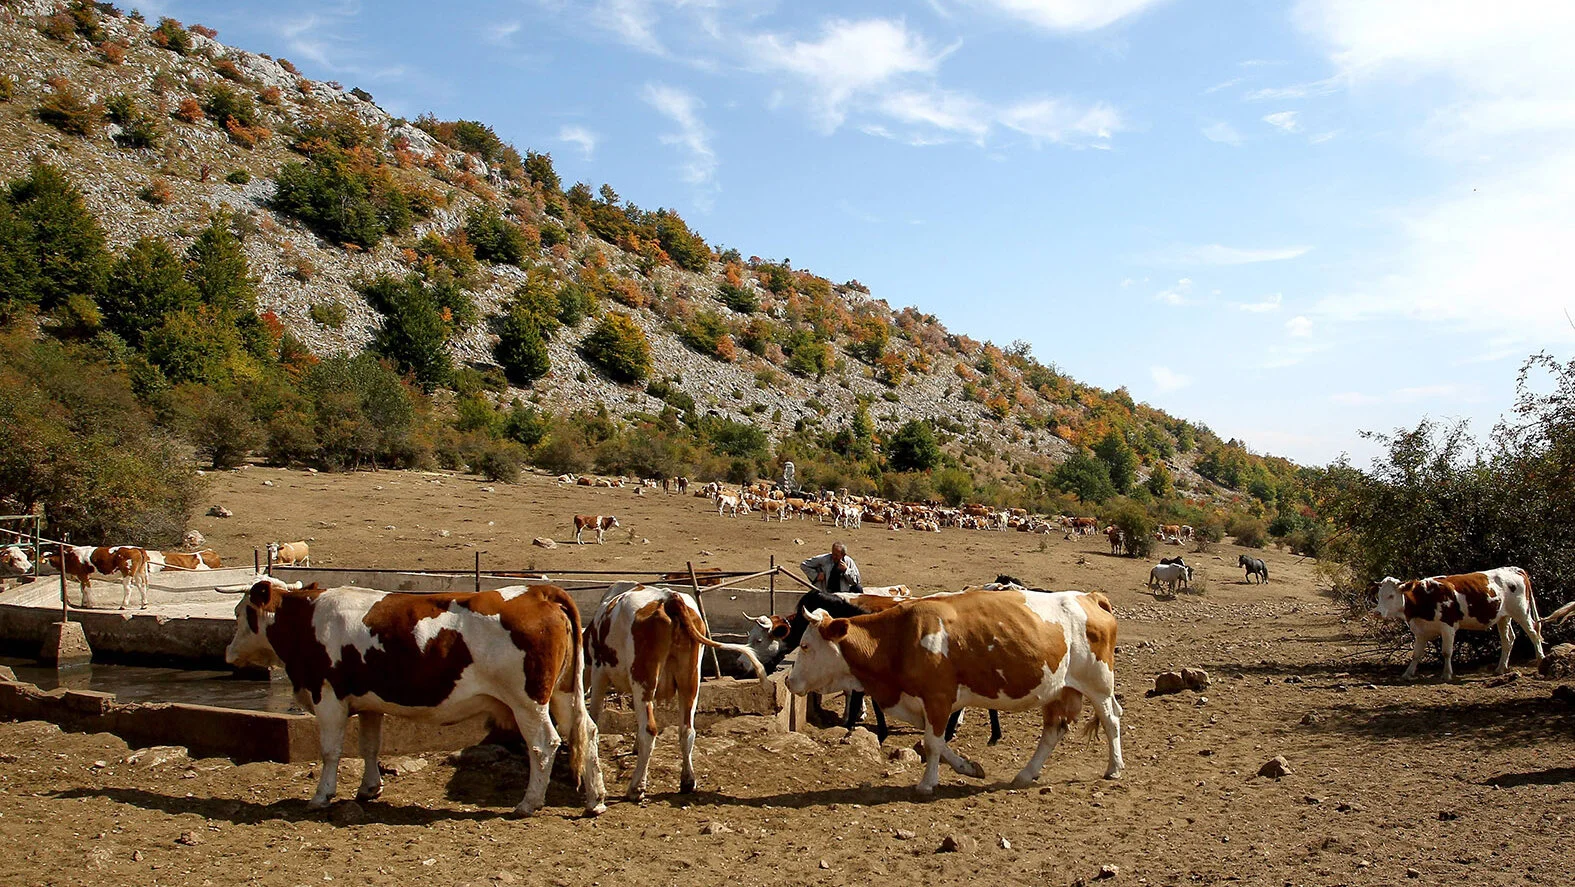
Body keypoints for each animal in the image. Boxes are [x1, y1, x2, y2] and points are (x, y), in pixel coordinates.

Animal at [225, 579, 604, 812]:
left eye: (240, 612)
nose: (229, 653)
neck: (308, 621)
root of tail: (538, 592)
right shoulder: (369, 703)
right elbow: (369, 746)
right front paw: (369, 789)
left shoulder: (329, 697)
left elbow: (331, 751)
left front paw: (321, 796)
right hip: (563, 693)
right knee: (586, 731)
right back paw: (595, 800)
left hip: (528, 702)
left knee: (544, 743)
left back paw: (529, 803)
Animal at [585, 586, 768, 800]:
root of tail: (669, 598)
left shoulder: (599, 672)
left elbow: (595, 714)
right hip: (690, 679)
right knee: (687, 730)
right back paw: (688, 781)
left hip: (643, 678)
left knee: (650, 730)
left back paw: (636, 787)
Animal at [787, 586, 1121, 794]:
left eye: (805, 646)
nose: (789, 681)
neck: (898, 639)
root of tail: (1090, 598)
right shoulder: (927, 704)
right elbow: (936, 744)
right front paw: (969, 767)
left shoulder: (938, 697)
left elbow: (933, 744)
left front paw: (927, 783)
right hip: (1058, 689)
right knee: (1053, 731)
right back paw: (1026, 774)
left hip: (1098, 684)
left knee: (1111, 720)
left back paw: (1114, 768)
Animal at [1379, 567, 1549, 683]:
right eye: (1379, 595)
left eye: (1391, 595)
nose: (1377, 612)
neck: (1425, 597)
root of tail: (1515, 569)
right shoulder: (1421, 631)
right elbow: (1416, 655)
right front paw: (1408, 673)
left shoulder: (1448, 627)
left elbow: (1446, 652)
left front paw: (1447, 674)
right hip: (1503, 617)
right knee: (1508, 640)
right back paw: (1500, 668)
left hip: (1522, 612)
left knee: (1534, 634)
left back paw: (1541, 660)